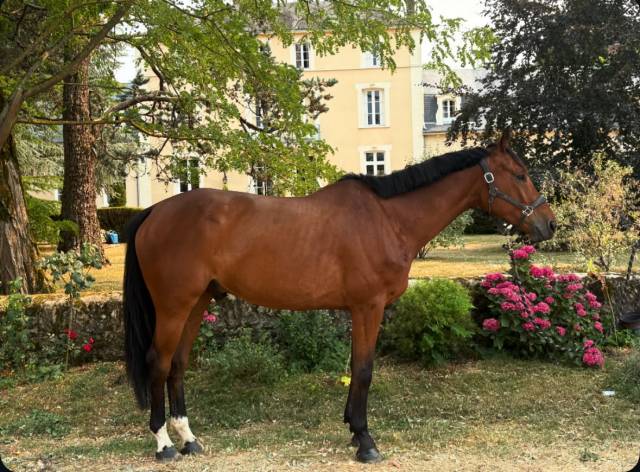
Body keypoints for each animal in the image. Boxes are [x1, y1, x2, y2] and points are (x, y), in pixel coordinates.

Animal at [123, 130, 556, 463]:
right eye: (520, 174)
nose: (549, 224)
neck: (388, 219)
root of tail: (154, 212)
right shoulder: (369, 307)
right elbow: (363, 370)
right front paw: (365, 441)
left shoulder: (358, 310)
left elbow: (355, 367)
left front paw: (352, 428)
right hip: (174, 306)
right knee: (158, 363)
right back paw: (164, 445)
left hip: (196, 303)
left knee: (178, 365)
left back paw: (189, 439)